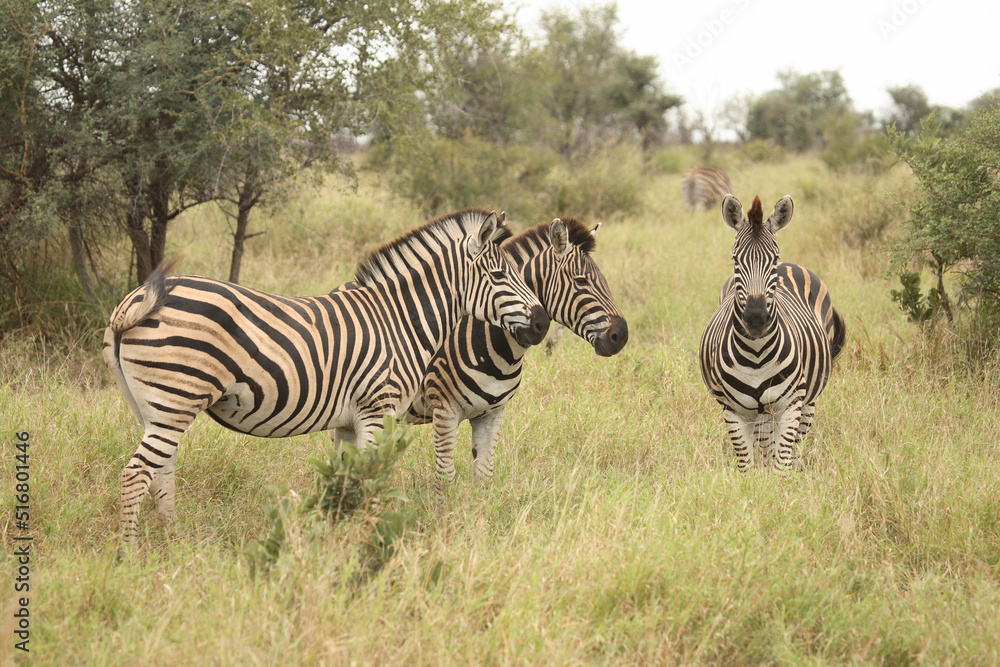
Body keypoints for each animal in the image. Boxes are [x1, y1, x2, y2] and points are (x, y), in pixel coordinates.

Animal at [103, 208, 550, 542]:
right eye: (499, 276)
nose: (542, 323)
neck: (401, 320)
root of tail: (135, 299)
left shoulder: (350, 421)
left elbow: (346, 482)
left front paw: (340, 537)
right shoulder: (377, 411)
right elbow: (369, 481)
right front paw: (366, 540)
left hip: (153, 408)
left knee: (161, 473)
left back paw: (174, 541)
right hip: (175, 398)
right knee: (136, 474)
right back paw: (129, 555)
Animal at [699, 194, 846, 472]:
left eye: (774, 259)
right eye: (735, 260)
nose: (756, 318)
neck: (756, 354)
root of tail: (792, 265)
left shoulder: (790, 406)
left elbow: (782, 465)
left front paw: (781, 483)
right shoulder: (733, 412)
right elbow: (746, 466)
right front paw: (757, 483)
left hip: (806, 401)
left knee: (795, 444)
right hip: (761, 412)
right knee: (766, 445)